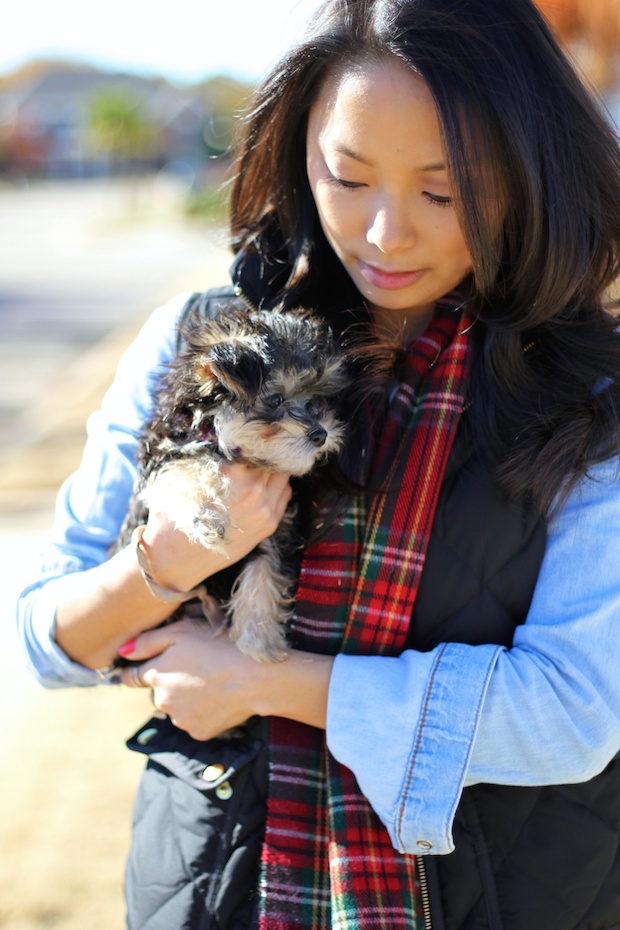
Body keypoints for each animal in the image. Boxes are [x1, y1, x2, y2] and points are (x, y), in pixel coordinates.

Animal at [116, 300, 348, 660]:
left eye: (314, 400)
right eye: (276, 399)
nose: (321, 434)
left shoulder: (279, 527)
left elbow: (264, 570)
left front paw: (259, 638)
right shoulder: (165, 454)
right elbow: (187, 469)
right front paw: (207, 515)